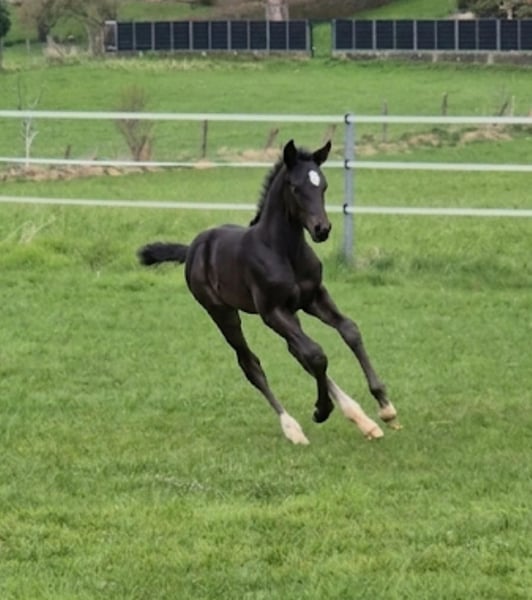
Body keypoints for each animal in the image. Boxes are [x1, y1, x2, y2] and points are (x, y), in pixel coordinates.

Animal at [138, 139, 399, 445]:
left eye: (323, 185)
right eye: (296, 187)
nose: (321, 229)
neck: (284, 250)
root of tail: (193, 248)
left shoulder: (313, 298)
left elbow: (348, 331)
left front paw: (385, 406)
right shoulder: (272, 311)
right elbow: (317, 354)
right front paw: (321, 410)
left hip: (288, 313)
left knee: (297, 351)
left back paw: (361, 419)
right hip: (223, 313)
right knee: (251, 363)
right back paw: (292, 427)